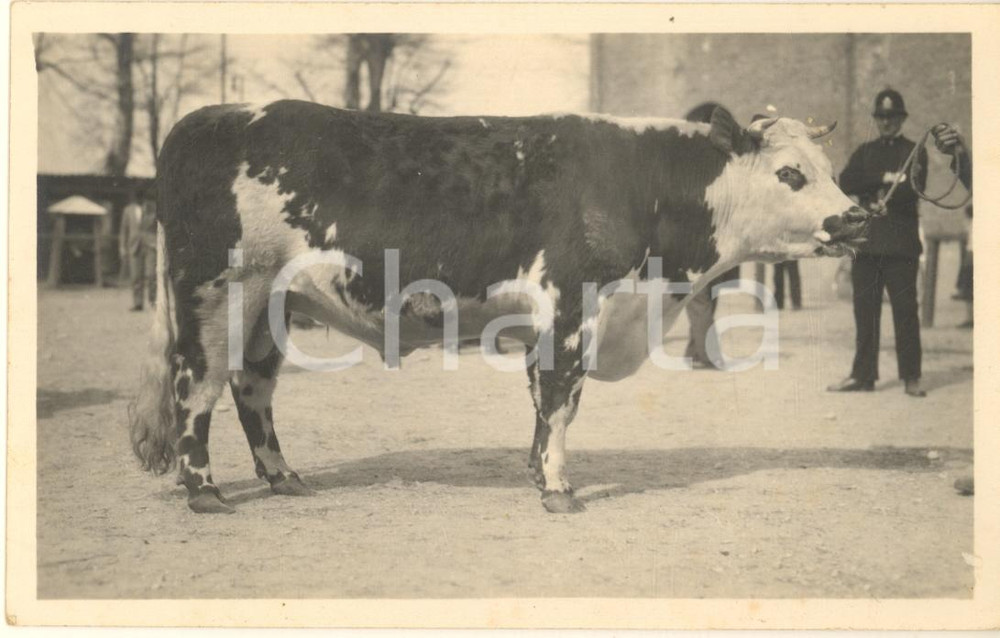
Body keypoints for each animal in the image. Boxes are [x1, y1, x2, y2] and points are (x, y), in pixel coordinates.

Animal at [129, 100, 869, 514]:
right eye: (791, 174)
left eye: (830, 169)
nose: (857, 217)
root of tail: (214, 116)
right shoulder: (571, 307)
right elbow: (563, 400)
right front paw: (560, 491)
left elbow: (545, 405)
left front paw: (538, 472)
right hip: (219, 291)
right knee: (198, 388)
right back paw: (205, 492)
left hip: (273, 306)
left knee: (251, 389)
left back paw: (284, 478)